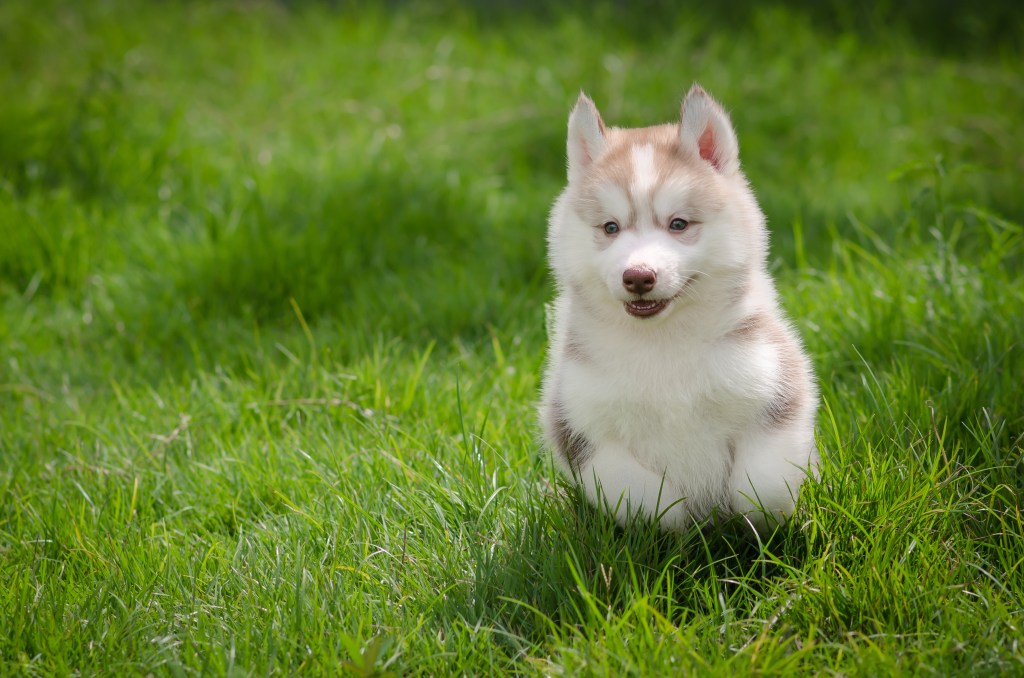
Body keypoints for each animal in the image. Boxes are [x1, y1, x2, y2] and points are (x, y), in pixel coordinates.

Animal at [540, 85, 819, 532]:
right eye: (610, 227)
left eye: (678, 224)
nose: (638, 277)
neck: (664, 345)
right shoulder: (582, 426)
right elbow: (642, 497)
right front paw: (678, 524)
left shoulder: (775, 387)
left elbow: (764, 486)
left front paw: (761, 523)